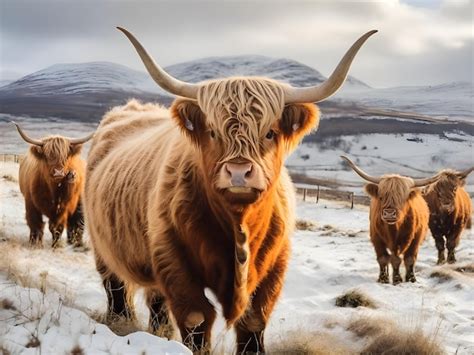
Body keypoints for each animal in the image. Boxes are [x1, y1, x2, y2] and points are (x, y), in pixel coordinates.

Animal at [83, 27, 376, 354]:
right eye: (213, 132)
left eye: (270, 133)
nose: (238, 173)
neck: (238, 224)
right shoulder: (173, 259)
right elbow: (197, 318)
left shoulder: (274, 266)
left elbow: (254, 320)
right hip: (102, 245)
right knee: (115, 287)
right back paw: (119, 321)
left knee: (155, 300)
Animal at [342, 157, 438, 286]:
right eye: (381, 196)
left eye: (402, 198)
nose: (389, 213)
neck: (394, 229)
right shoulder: (376, 238)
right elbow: (384, 258)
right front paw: (385, 279)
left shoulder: (416, 238)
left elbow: (409, 259)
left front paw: (409, 279)